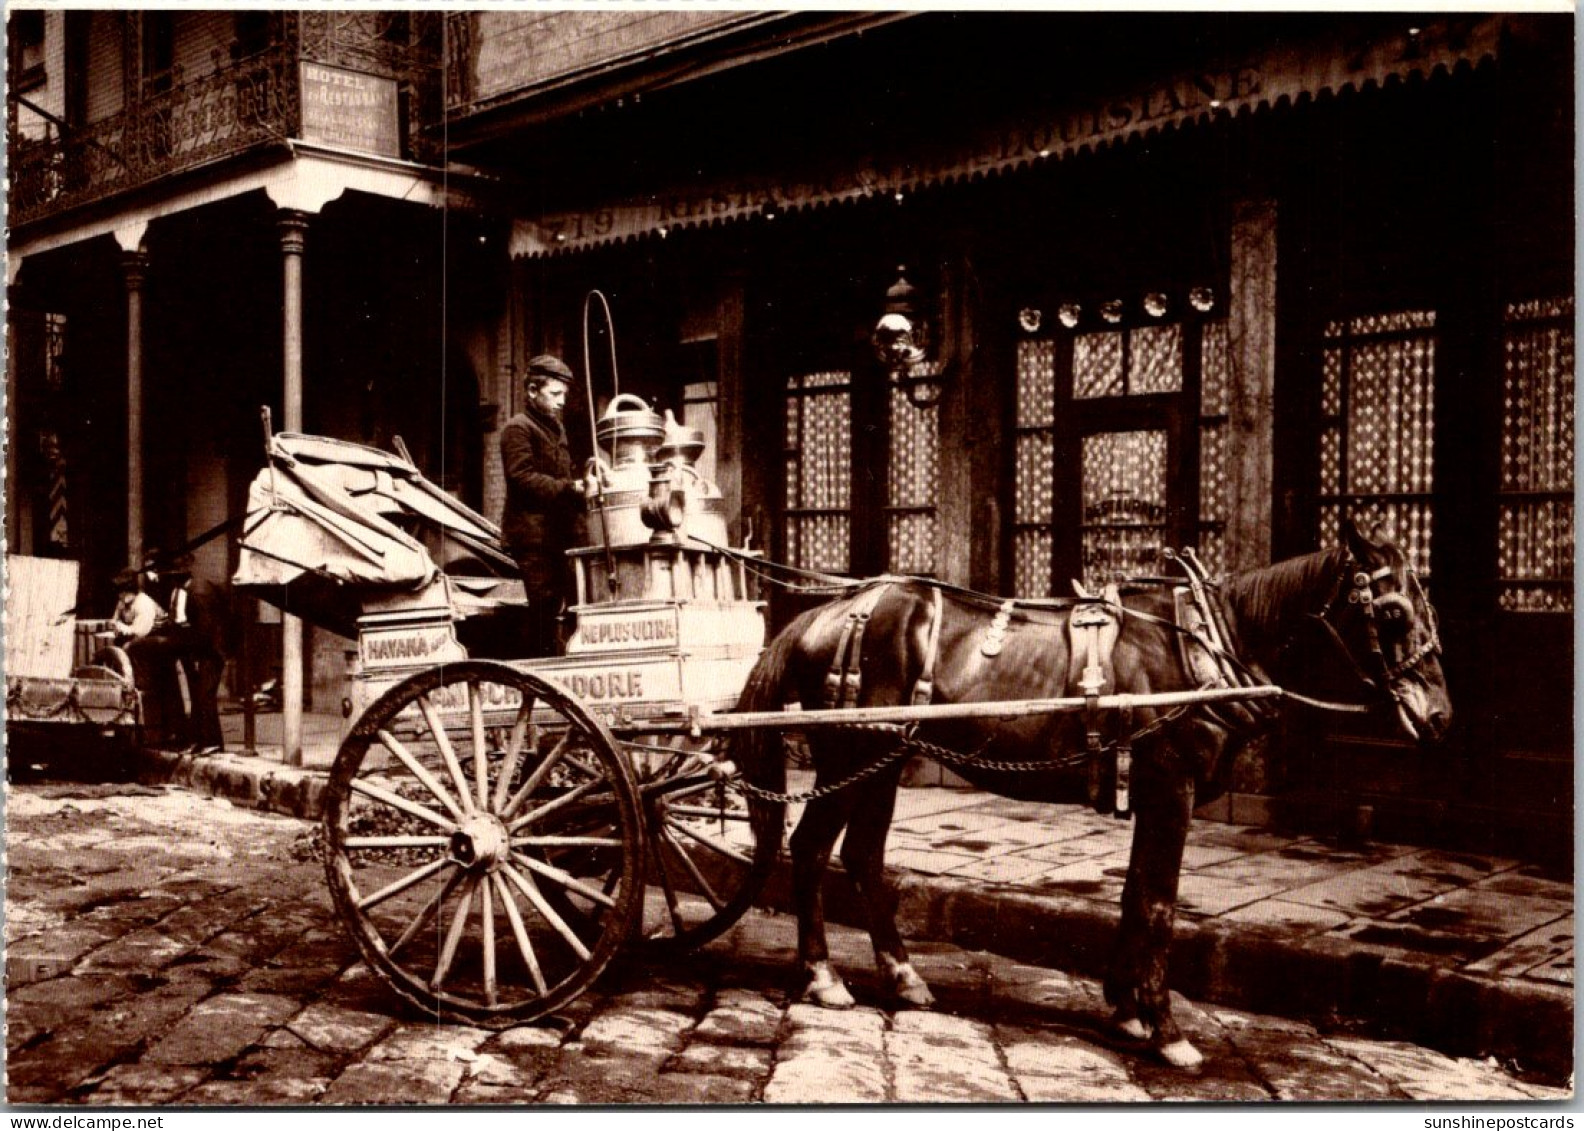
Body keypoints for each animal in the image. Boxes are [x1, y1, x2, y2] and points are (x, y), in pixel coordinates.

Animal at [728, 519, 1450, 1064]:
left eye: (1429, 607)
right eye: (1391, 611)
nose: (1440, 716)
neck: (1207, 643)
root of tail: (828, 611)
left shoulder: (1153, 791)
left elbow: (1133, 895)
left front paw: (1126, 1011)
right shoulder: (1170, 783)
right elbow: (1159, 905)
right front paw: (1166, 1030)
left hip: (885, 758)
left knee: (863, 856)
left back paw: (903, 976)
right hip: (852, 752)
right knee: (811, 848)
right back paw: (823, 976)